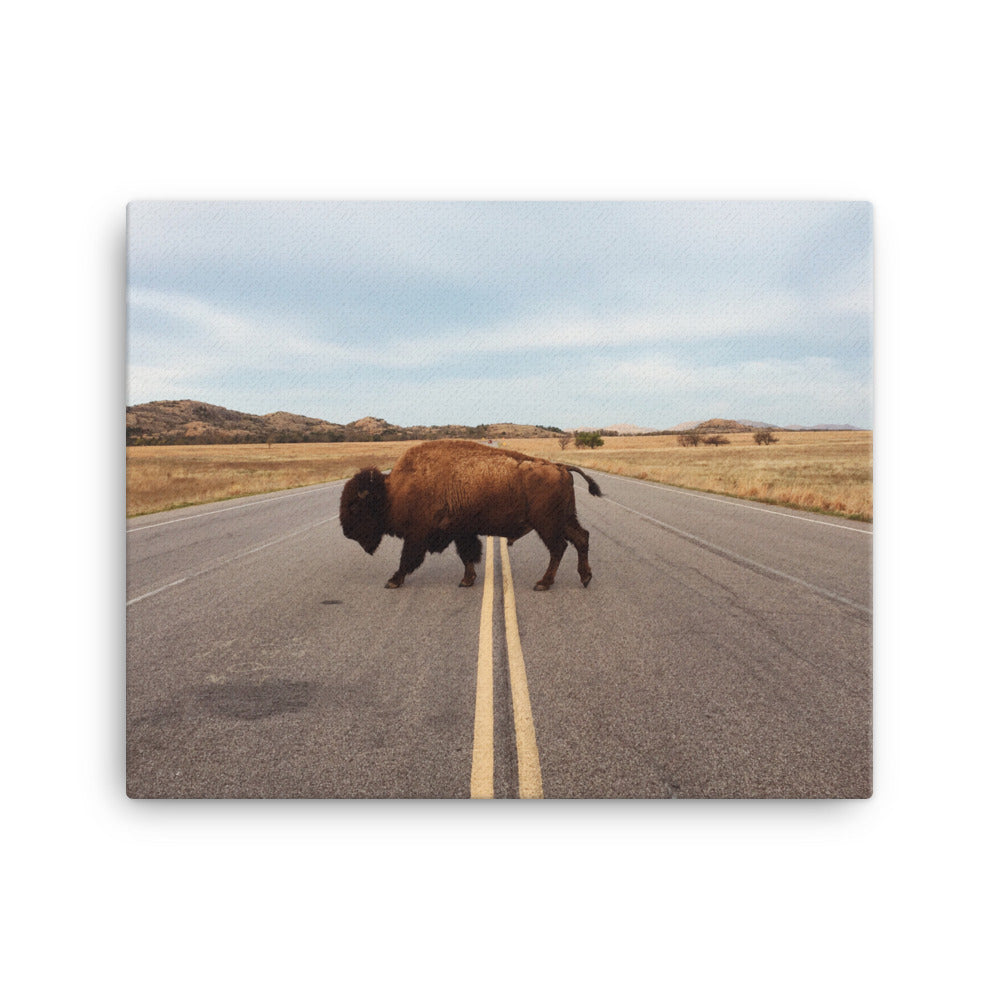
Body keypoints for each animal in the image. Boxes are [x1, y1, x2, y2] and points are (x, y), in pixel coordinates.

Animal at [339, 439, 602, 591]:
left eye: (354, 506)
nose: (347, 532)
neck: (392, 491)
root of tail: (560, 467)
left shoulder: (417, 536)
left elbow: (407, 559)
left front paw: (393, 581)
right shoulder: (461, 532)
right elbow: (467, 555)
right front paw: (467, 580)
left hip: (547, 524)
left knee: (559, 548)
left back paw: (543, 583)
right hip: (564, 520)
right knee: (581, 538)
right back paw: (585, 577)